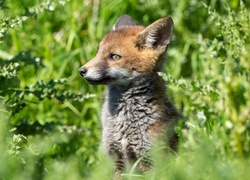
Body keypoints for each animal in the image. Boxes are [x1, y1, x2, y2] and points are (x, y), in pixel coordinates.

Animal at [78, 15, 180, 174]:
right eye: (98, 52)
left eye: (114, 56)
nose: (81, 71)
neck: (124, 121)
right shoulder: (116, 156)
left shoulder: (151, 159)